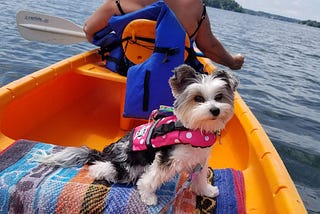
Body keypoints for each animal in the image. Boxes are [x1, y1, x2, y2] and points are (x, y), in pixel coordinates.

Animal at [38, 64, 238, 206]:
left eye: (219, 97)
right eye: (198, 98)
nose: (215, 110)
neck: (193, 130)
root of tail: (103, 153)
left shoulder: (199, 161)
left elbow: (201, 177)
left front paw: (206, 191)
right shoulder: (166, 159)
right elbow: (151, 179)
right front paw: (148, 196)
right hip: (126, 166)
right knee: (101, 167)